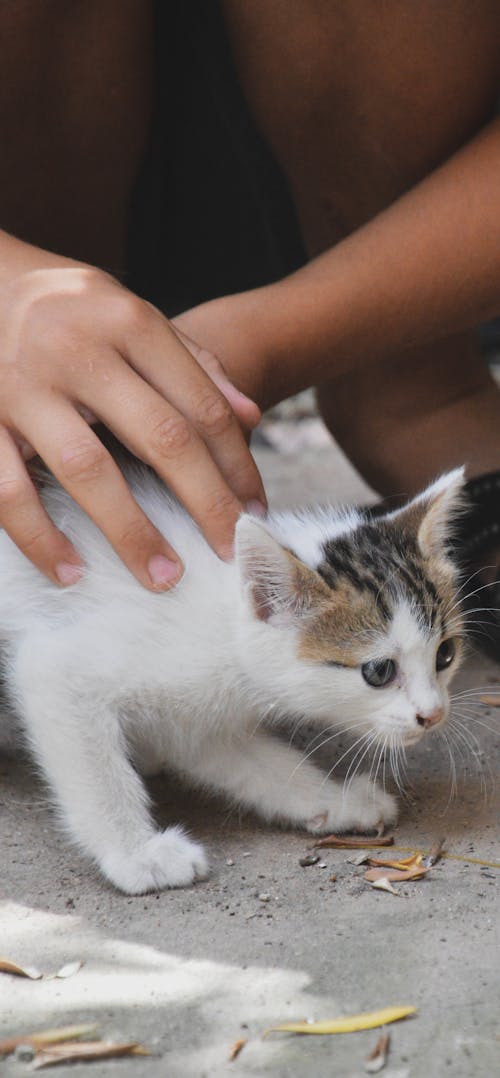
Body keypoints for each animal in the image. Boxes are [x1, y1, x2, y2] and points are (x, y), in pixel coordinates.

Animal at [0, 463, 465, 892]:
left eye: (445, 654)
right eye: (379, 671)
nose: (433, 715)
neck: (225, 632)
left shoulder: (198, 720)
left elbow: (262, 764)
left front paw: (336, 799)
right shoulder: (59, 667)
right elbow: (98, 774)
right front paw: (137, 855)